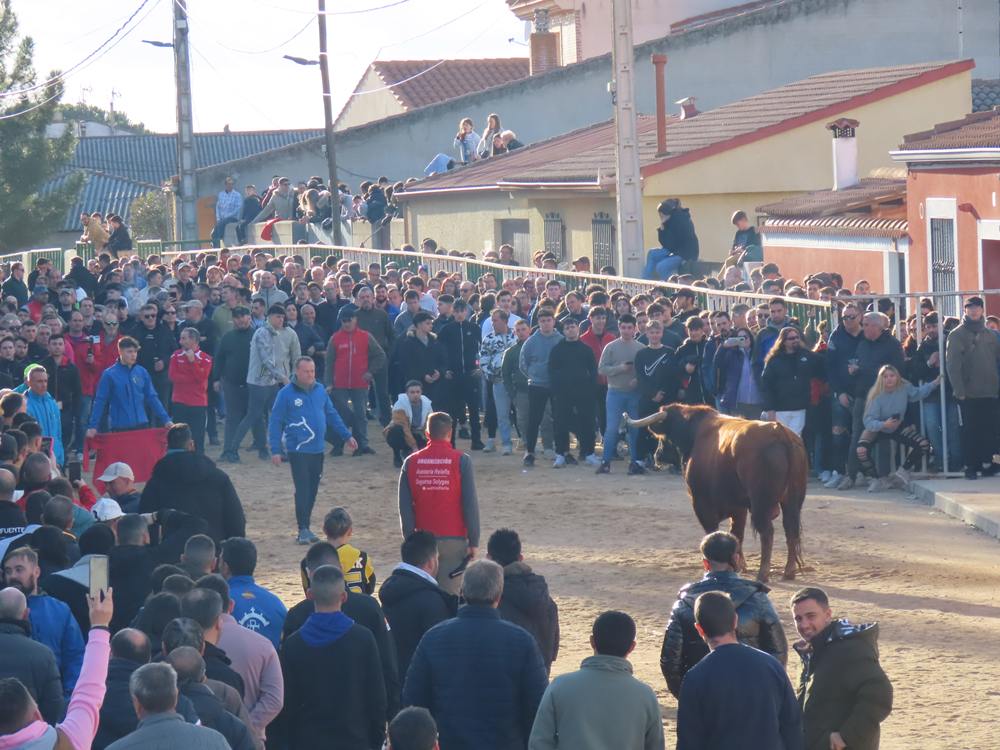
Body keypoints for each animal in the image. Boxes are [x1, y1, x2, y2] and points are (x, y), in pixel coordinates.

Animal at [628, 406, 808, 580]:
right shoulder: (738, 507)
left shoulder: (701, 503)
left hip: (761, 503)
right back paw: (789, 571)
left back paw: (763, 573)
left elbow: (712, 532)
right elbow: (736, 534)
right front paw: (740, 565)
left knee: (767, 532)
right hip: (792, 501)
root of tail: (780, 432)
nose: (657, 456)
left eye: (664, 436)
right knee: (790, 529)